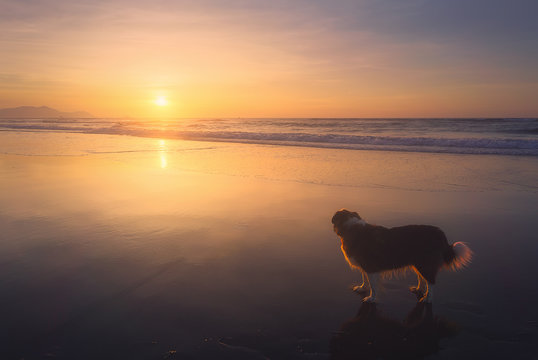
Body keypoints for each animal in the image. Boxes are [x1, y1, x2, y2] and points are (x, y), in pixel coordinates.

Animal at [328, 210, 472, 302]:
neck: (351, 227)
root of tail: (440, 234)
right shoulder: (364, 265)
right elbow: (364, 278)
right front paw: (362, 287)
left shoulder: (370, 267)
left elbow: (373, 286)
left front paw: (371, 298)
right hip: (418, 262)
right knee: (422, 278)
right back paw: (418, 289)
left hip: (425, 263)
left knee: (431, 282)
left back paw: (428, 298)